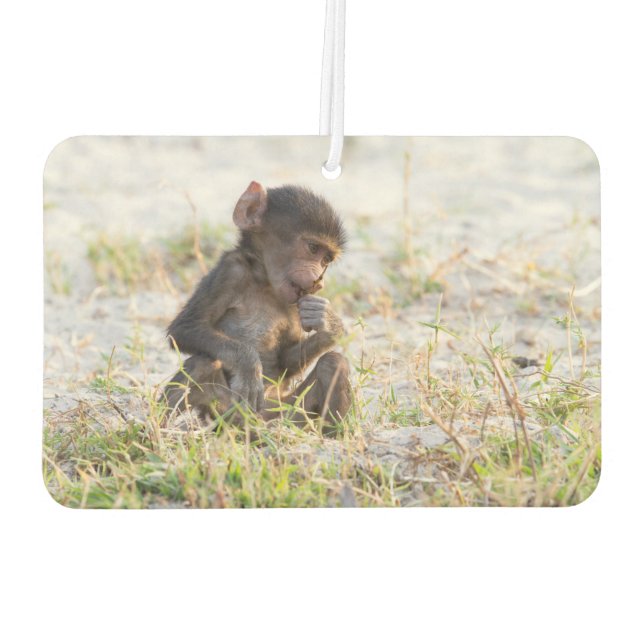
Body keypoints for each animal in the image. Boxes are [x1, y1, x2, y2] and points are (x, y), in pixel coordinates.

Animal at [161, 181, 351, 429]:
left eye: (326, 260)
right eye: (312, 248)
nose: (319, 280)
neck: (265, 283)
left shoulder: (294, 304)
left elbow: (286, 360)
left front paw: (328, 323)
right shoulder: (231, 270)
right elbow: (184, 328)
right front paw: (249, 365)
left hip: (288, 411)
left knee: (334, 362)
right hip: (225, 411)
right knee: (201, 363)